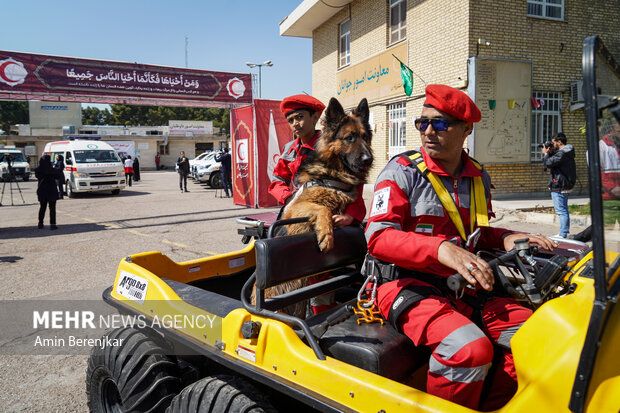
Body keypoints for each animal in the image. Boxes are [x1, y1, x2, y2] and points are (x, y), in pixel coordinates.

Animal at [252, 97, 372, 318]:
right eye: (349, 138)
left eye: (365, 137)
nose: (368, 159)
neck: (332, 174)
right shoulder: (297, 208)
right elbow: (322, 209)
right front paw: (326, 236)